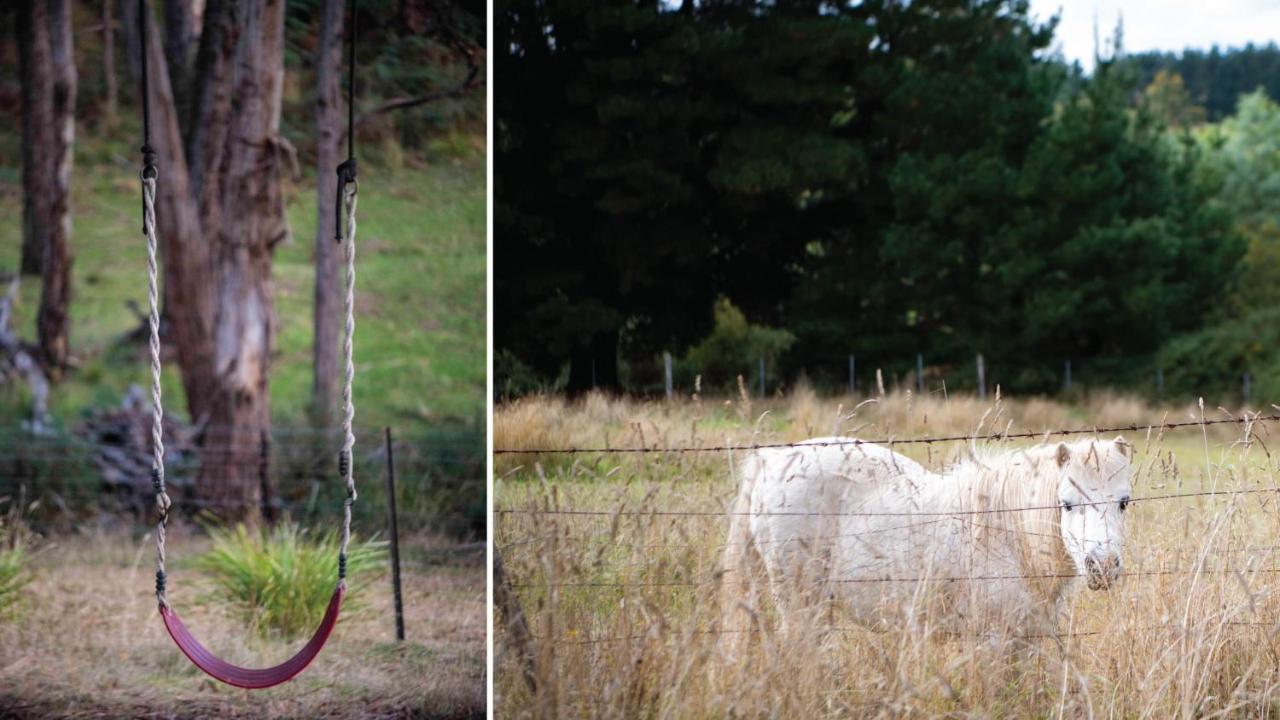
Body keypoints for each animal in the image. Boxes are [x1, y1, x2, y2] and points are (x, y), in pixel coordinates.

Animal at [727, 435, 1136, 635]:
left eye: (1124, 503)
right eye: (1066, 504)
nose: (1102, 566)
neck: (1007, 532)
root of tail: (770, 461)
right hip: (799, 600)